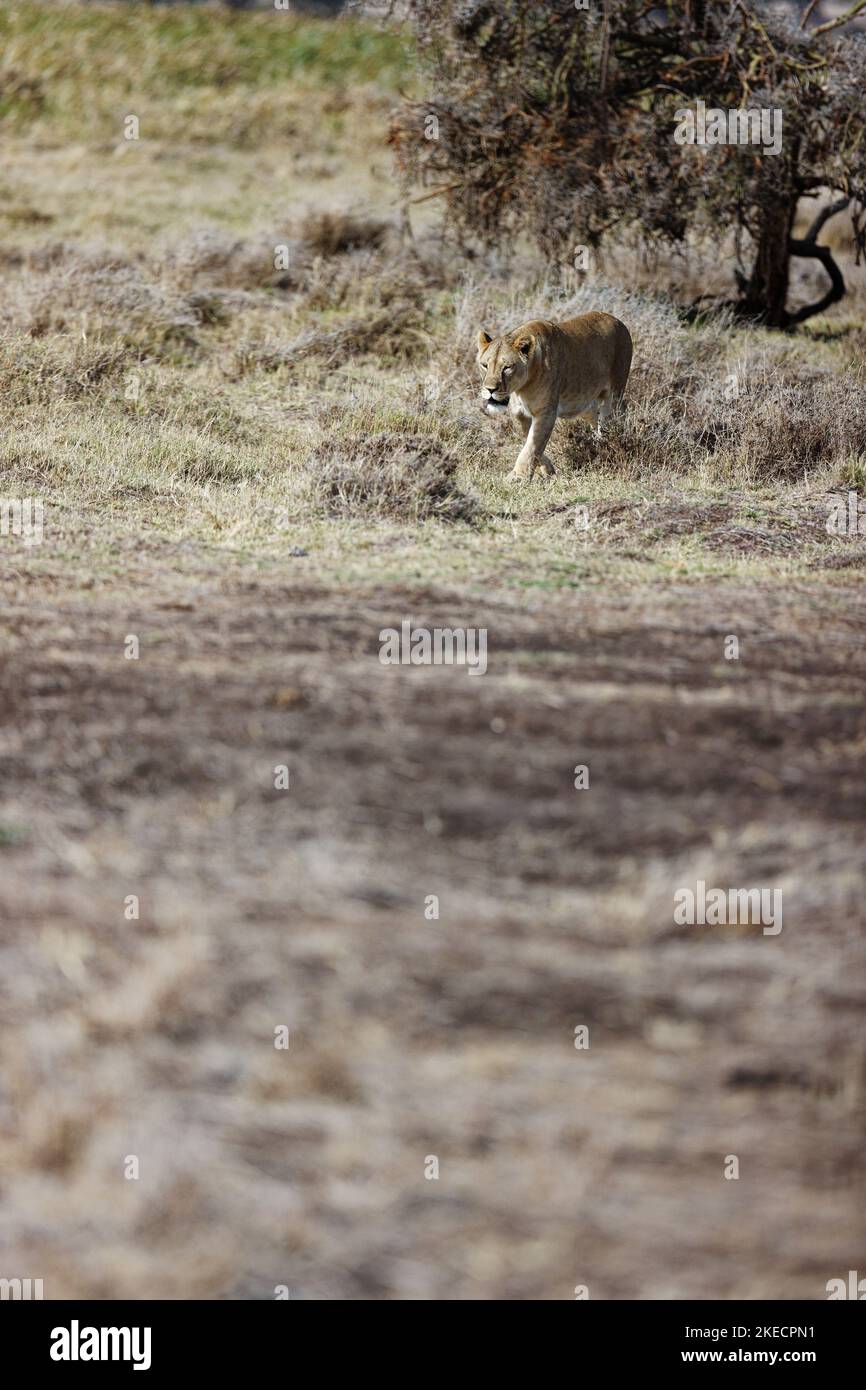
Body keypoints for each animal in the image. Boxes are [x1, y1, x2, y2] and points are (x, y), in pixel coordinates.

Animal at [477, 311, 633, 479]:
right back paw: (597, 445)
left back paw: (609, 443)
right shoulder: (518, 414)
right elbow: (529, 441)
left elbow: (533, 446)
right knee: (595, 417)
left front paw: (519, 476)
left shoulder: (546, 413)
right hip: (584, 403)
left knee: (612, 418)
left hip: (614, 393)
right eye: (484, 365)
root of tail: (617, 321)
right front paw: (547, 469)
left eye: (507, 367)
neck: (521, 389)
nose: (490, 389)